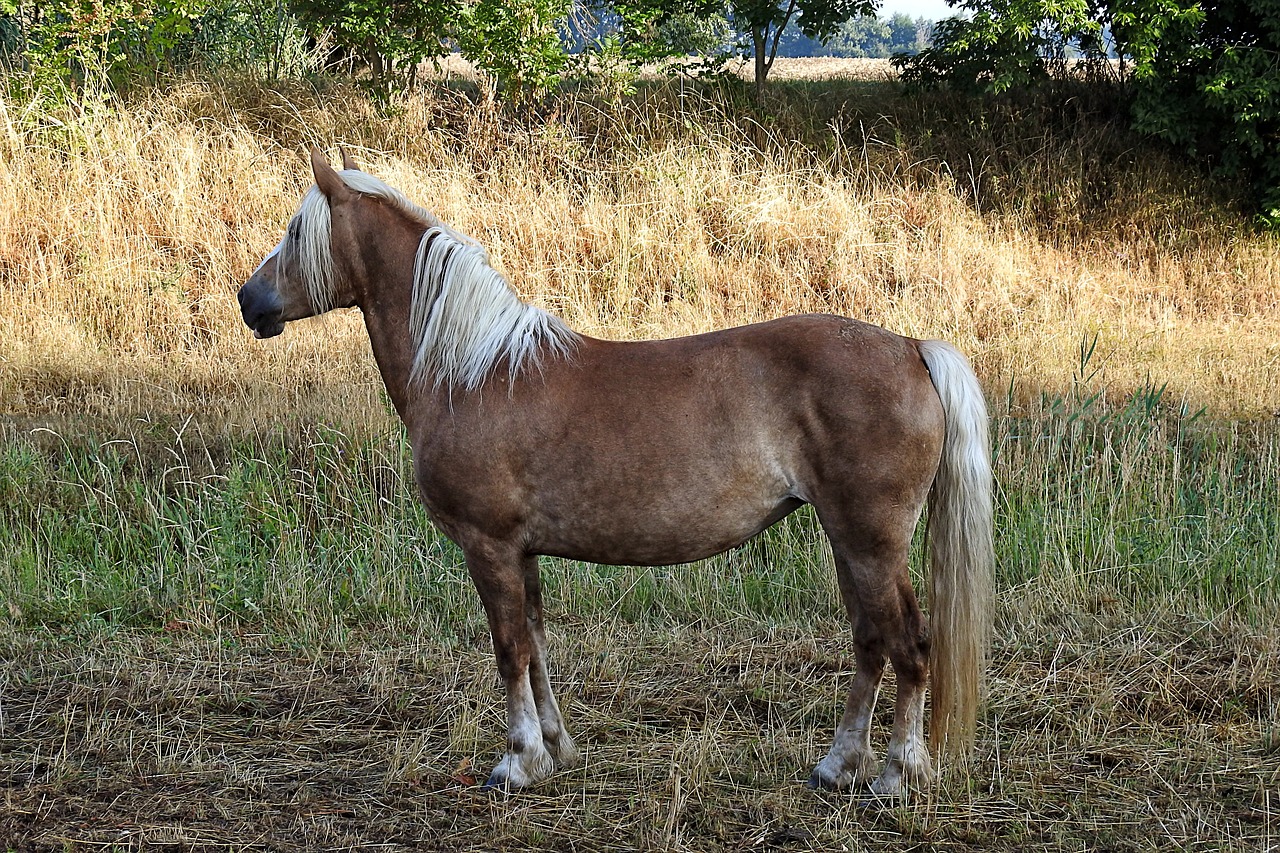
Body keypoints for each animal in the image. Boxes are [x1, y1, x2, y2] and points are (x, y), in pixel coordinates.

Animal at [240, 149, 998, 794]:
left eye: (295, 229)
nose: (250, 300)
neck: (473, 371)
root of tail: (910, 347)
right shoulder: (523, 551)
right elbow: (538, 644)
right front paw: (554, 748)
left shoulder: (490, 546)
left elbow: (509, 648)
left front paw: (515, 762)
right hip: (849, 541)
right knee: (871, 641)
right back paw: (838, 765)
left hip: (871, 540)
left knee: (908, 643)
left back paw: (896, 773)